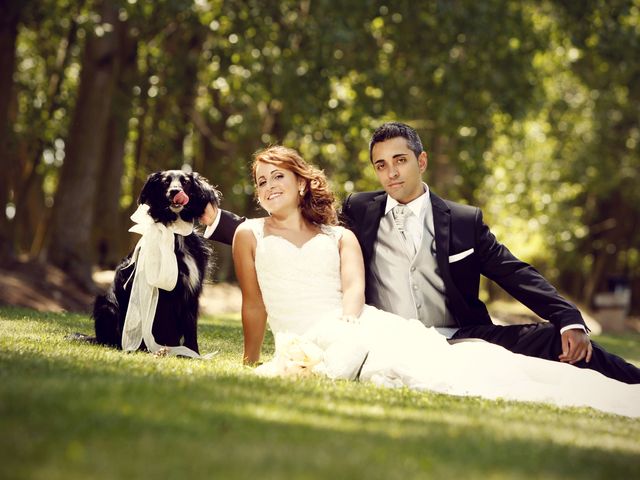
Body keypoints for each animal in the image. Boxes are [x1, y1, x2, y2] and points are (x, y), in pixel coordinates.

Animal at [93, 171, 220, 354]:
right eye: (165, 182)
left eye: (185, 182)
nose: (175, 191)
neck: (175, 232)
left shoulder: (191, 291)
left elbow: (191, 327)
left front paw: (192, 352)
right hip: (105, 304)